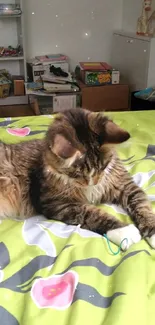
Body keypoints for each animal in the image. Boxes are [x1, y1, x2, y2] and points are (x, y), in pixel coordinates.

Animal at [0, 107, 155, 249]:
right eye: (78, 174)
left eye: (103, 167)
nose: (94, 182)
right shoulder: (56, 203)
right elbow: (92, 213)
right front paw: (124, 231)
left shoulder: (126, 186)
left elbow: (142, 206)